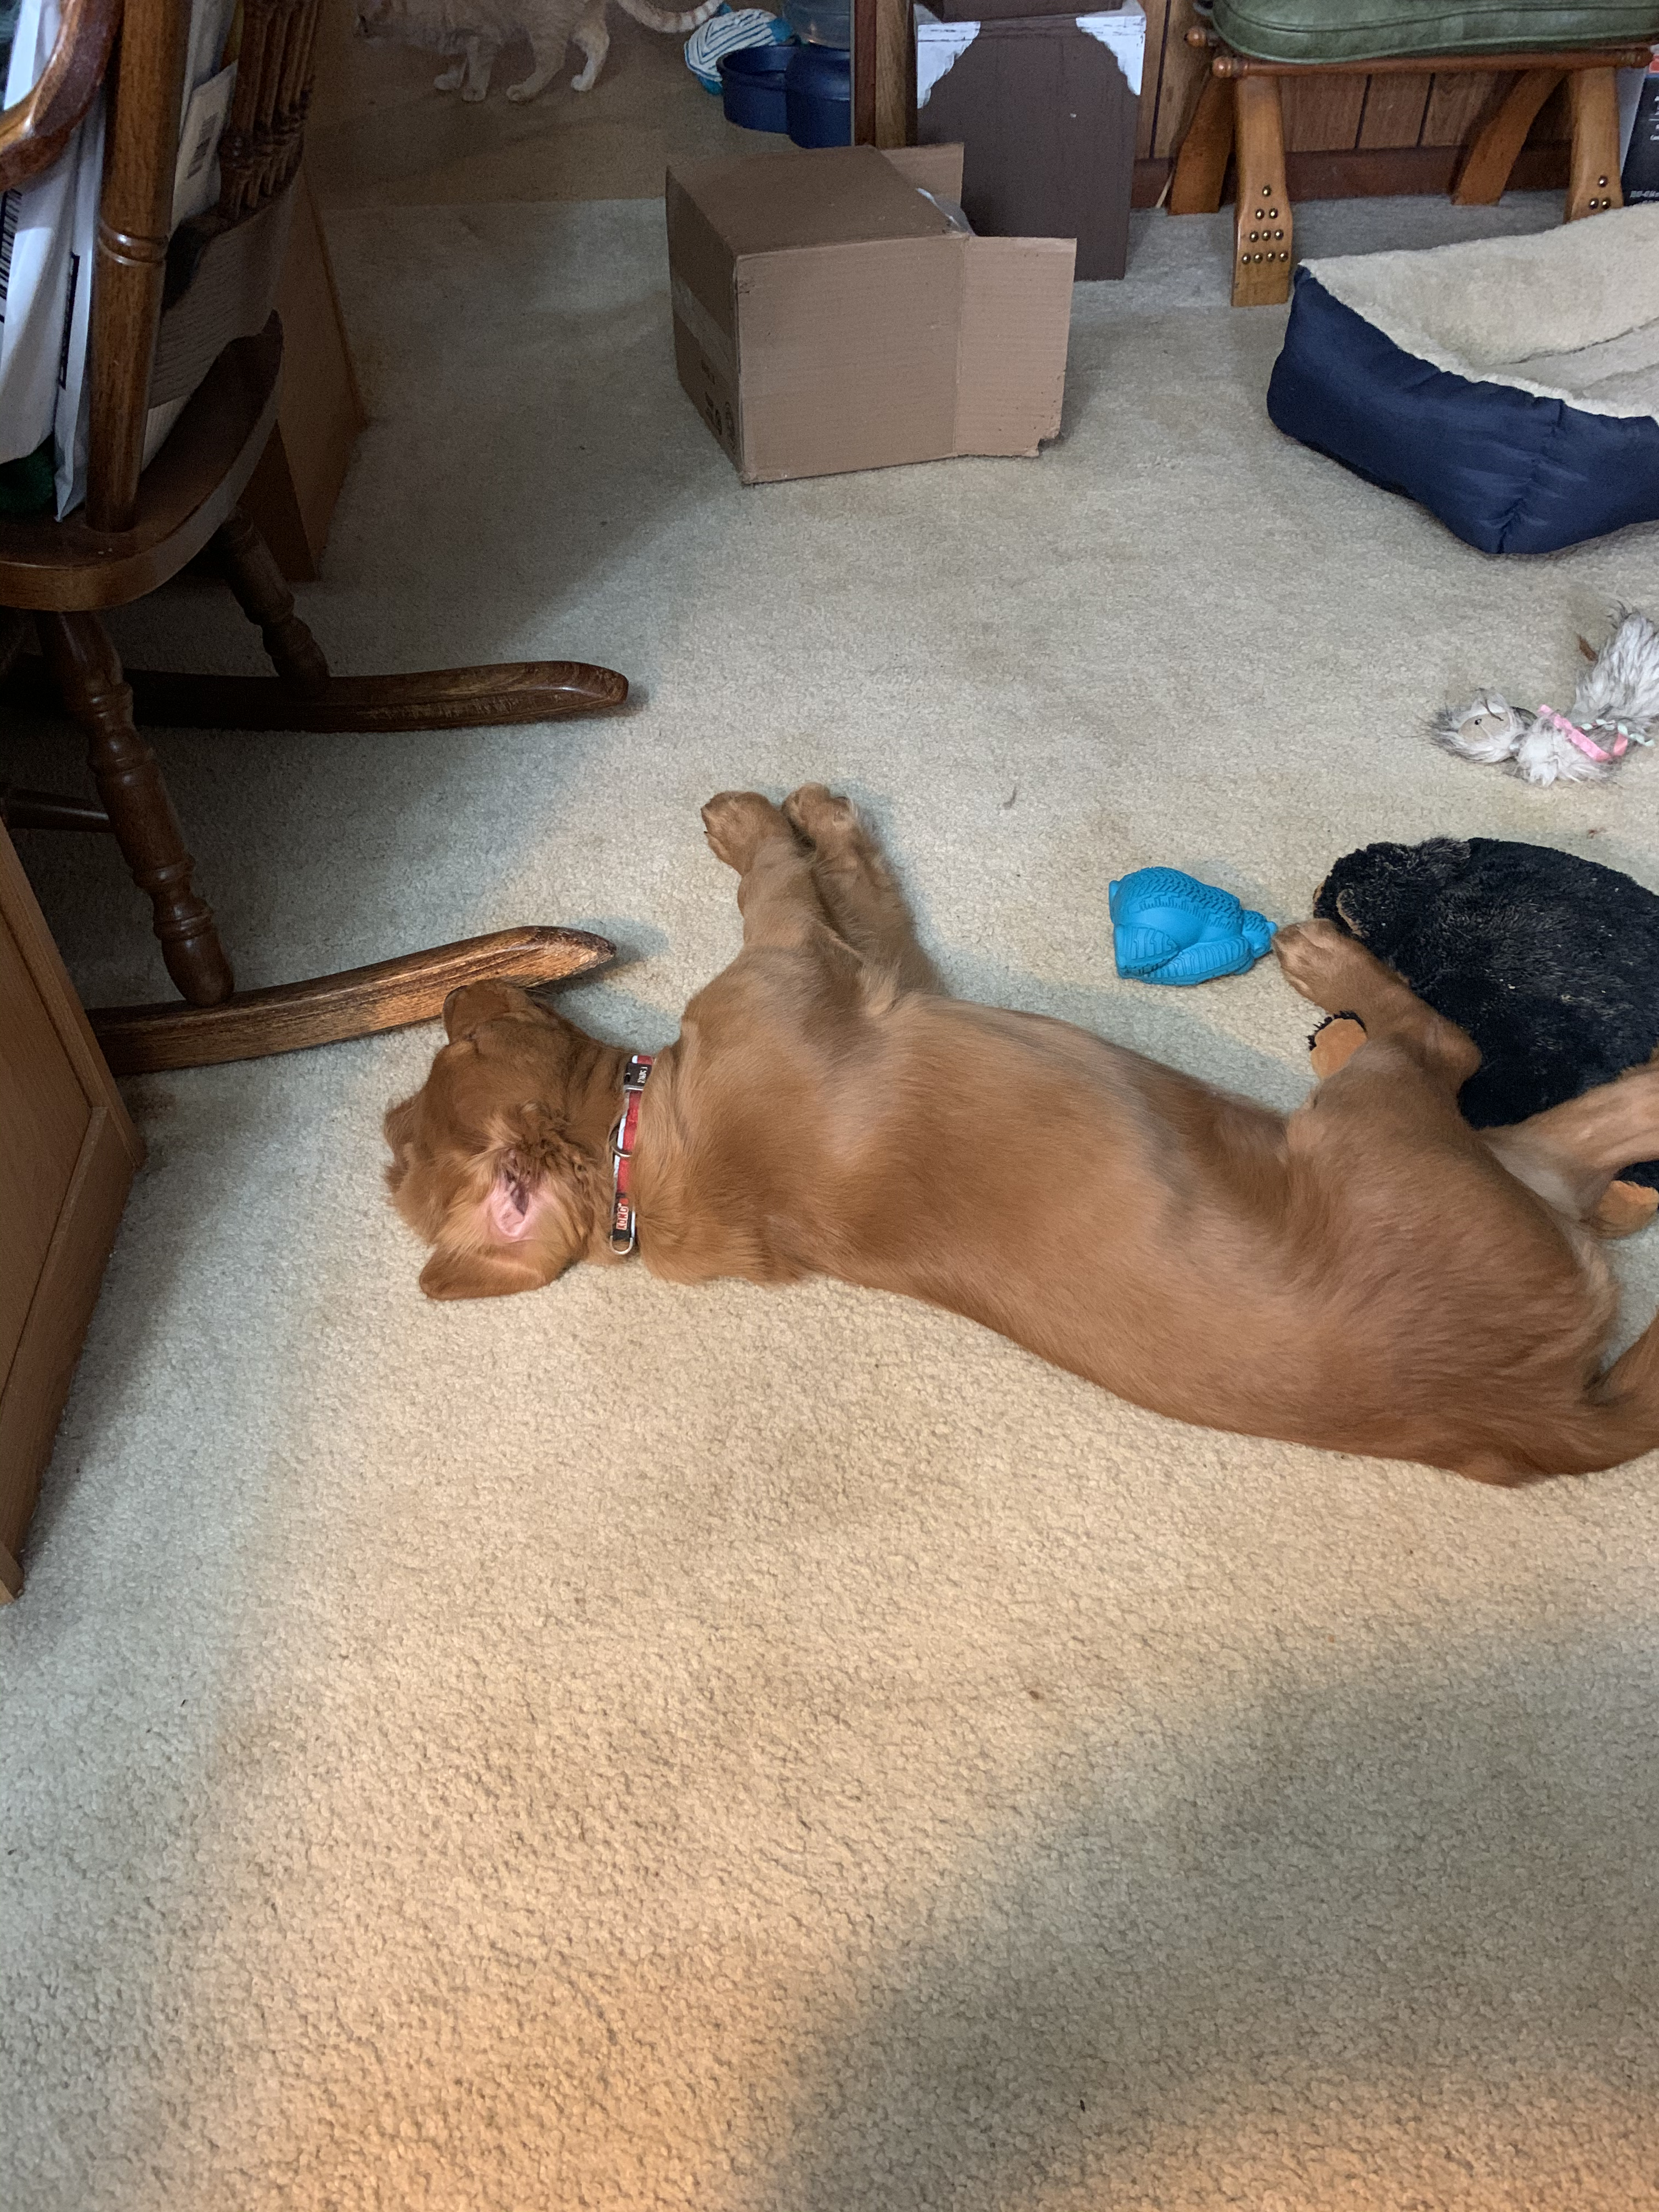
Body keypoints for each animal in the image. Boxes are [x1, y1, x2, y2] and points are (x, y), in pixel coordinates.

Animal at [355, 0, 721, 104]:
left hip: (543, 24)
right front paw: (451, 79)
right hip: (577, 20)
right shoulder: (457, 39)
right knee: (600, 42)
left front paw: (473, 91)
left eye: (363, 20)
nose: (354, 33)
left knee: (551, 62)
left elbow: (478, 66)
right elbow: (456, 60)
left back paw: (525, 91)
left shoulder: (483, 38)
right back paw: (585, 82)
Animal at [384, 786, 1659, 1484]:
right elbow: (778, 881)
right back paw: (1330, 960)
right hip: (1390, 1122)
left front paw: (819, 812)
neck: (638, 1150)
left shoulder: (888, 971)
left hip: (1490, 1158)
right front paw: (750, 821)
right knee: (1448, 1044)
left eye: (444, 1064)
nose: (452, 996)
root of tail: (1531, 1419)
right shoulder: (797, 958)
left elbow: (860, 884)